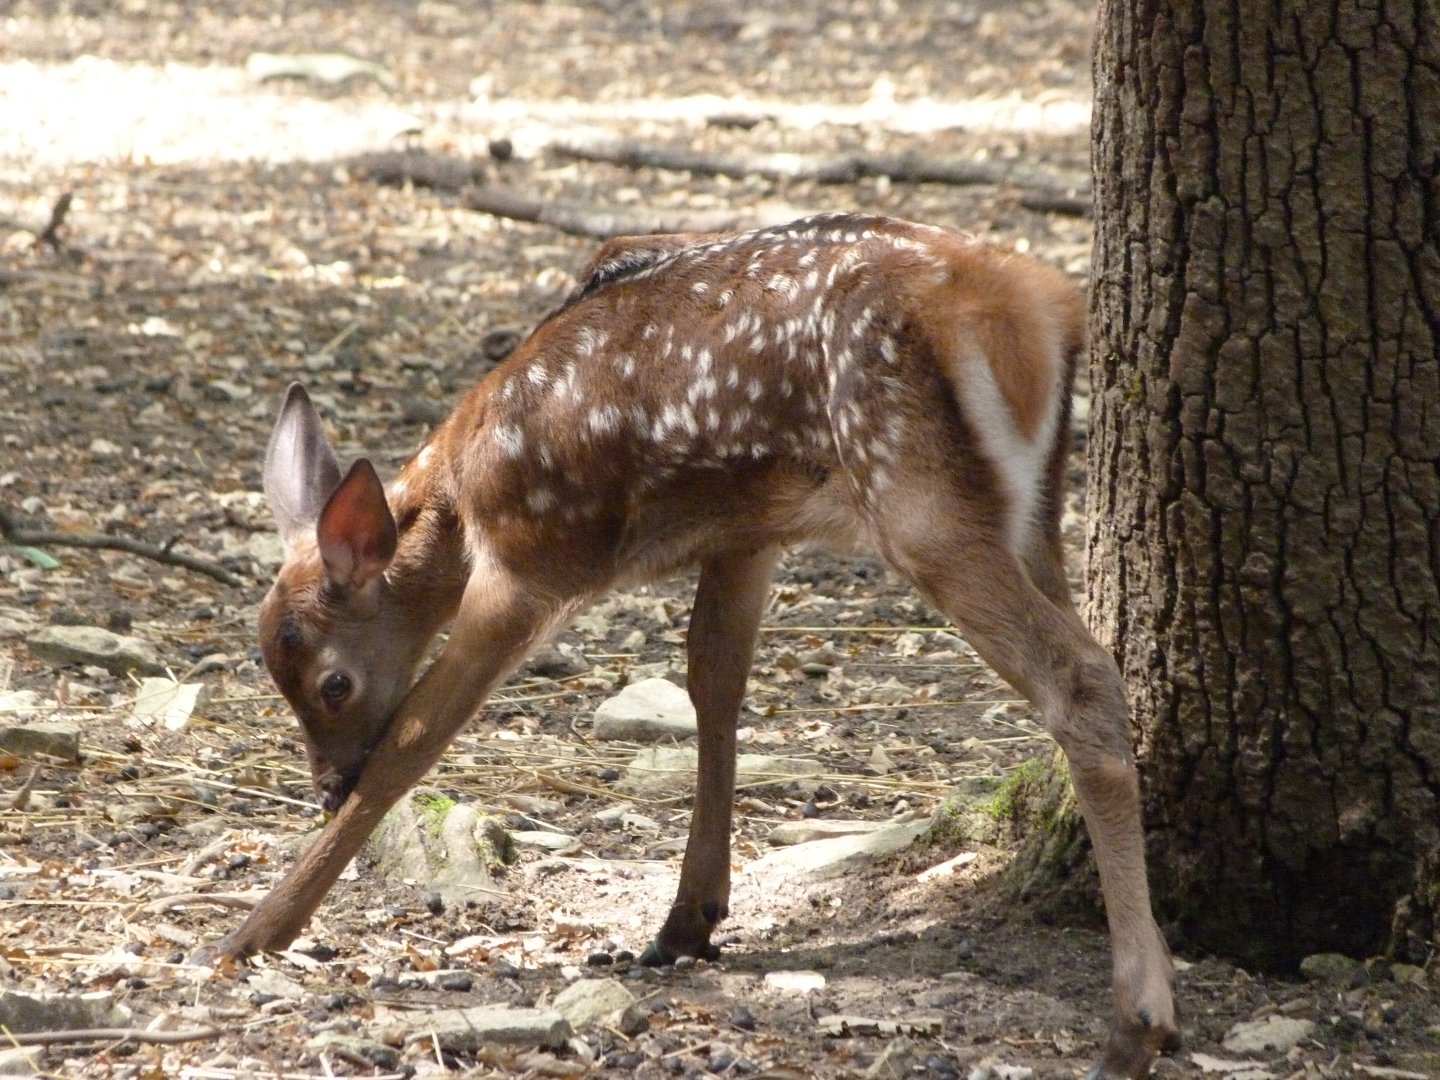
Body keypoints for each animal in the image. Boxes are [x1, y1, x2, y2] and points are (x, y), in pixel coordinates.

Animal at [197, 213, 1177, 1078]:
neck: (459, 500)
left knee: (1081, 678)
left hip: (915, 496)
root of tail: (1042, 307)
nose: (327, 786)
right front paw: (688, 919)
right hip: (1027, 513)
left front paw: (253, 935)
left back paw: (1138, 1021)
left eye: (331, 683)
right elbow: (714, 678)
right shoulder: (747, 531)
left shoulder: (527, 567)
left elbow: (415, 741)